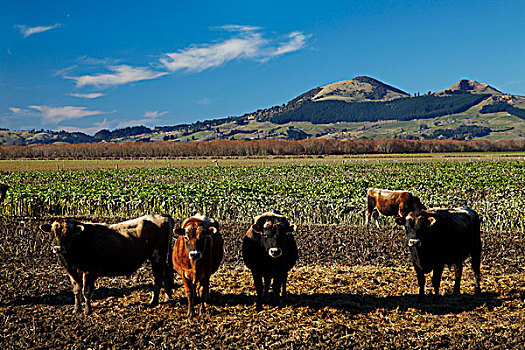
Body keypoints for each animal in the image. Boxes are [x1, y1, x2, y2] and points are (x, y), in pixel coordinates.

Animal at [40, 213, 174, 314]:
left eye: (69, 233)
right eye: (53, 232)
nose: (58, 248)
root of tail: (162, 215)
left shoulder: (89, 271)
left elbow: (86, 291)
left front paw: (87, 311)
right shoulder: (72, 272)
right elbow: (77, 290)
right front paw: (76, 309)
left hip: (157, 256)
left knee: (158, 277)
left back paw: (154, 301)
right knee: (166, 273)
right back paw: (167, 297)